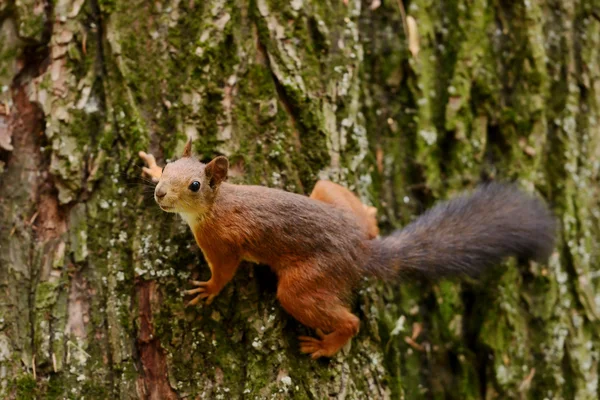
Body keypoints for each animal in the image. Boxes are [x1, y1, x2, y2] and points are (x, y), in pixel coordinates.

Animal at [138, 141, 556, 360]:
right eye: (171, 163)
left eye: (194, 185)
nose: (160, 194)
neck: (214, 206)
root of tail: (360, 249)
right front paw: (150, 166)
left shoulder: (222, 243)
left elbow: (224, 271)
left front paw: (207, 289)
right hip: (327, 191)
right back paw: (369, 215)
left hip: (308, 281)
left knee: (342, 317)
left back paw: (326, 345)